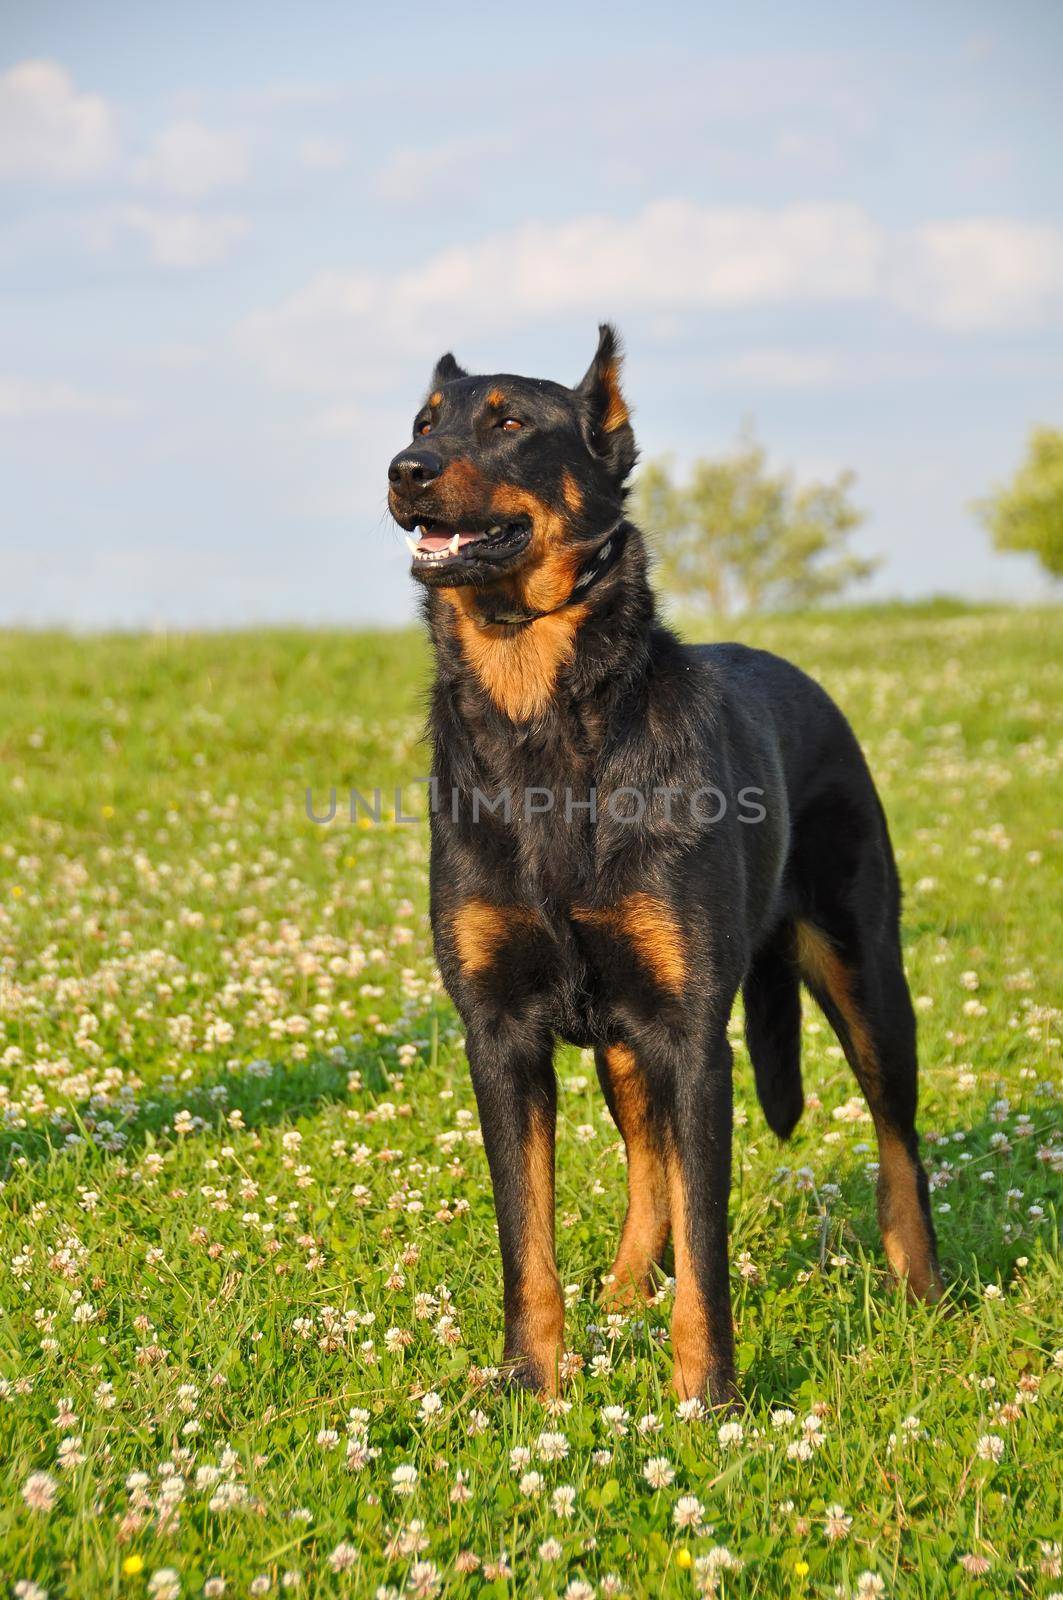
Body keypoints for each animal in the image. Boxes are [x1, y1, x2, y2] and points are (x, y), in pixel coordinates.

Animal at [385, 331, 941, 1408]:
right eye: (424, 421)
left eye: (508, 423)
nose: (404, 470)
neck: (543, 721)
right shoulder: (502, 1037)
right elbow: (528, 1242)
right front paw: (530, 1384)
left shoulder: (691, 1038)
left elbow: (708, 1245)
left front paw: (710, 1397)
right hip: (619, 1041)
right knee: (649, 1167)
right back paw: (621, 1288)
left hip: (864, 979)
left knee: (898, 1141)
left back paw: (924, 1287)